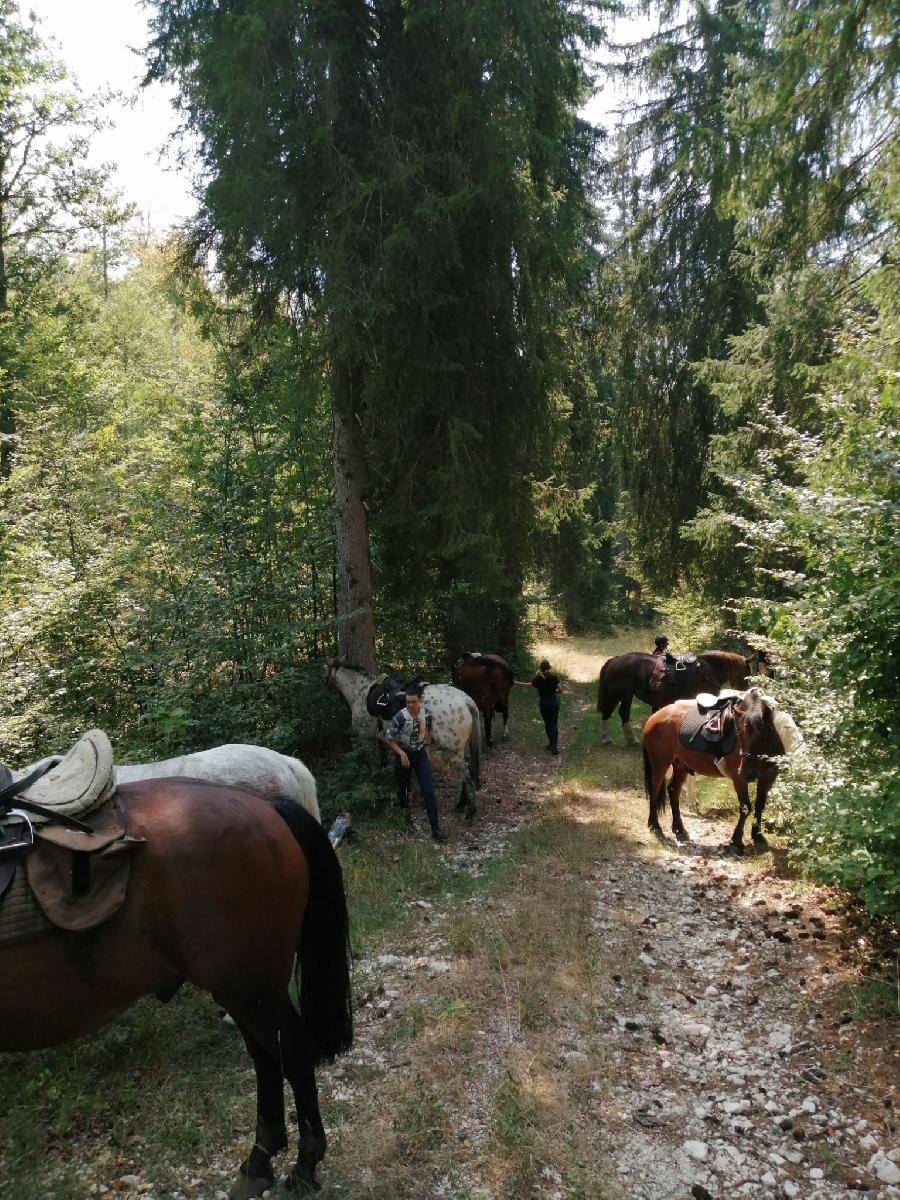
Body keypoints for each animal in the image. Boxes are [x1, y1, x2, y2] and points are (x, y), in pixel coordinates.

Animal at [326, 662, 482, 820]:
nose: (325, 685)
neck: (361, 692)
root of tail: (466, 700)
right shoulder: (388, 743)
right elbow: (394, 768)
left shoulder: (366, 739)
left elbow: (373, 765)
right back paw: (462, 804)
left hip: (453, 752)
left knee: (467, 775)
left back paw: (470, 810)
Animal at [643, 686, 787, 854]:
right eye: (739, 733)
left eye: (763, 735)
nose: (746, 773)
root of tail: (654, 717)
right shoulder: (738, 779)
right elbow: (746, 807)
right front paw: (736, 841)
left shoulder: (767, 777)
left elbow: (759, 806)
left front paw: (758, 837)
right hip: (660, 763)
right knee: (654, 791)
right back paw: (655, 826)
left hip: (680, 766)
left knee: (673, 791)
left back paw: (679, 830)